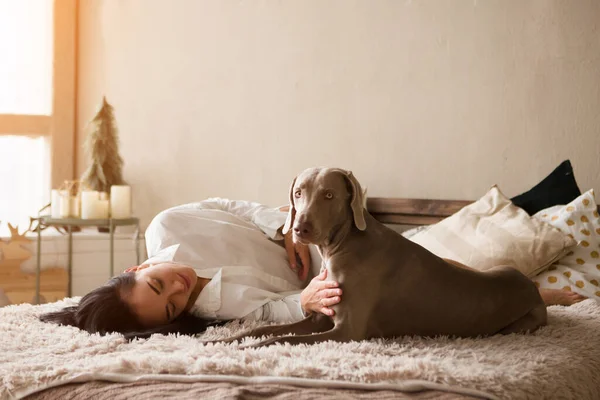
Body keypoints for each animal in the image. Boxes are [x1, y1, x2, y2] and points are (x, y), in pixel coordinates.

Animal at [213, 166, 548, 346]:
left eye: (329, 195)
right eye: (298, 193)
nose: (299, 229)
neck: (345, 243)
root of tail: (531, 287)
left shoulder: (345, 331)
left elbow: (280, 339)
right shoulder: (321, 317)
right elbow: (261, 329)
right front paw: (219, 341)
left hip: (520, 322)